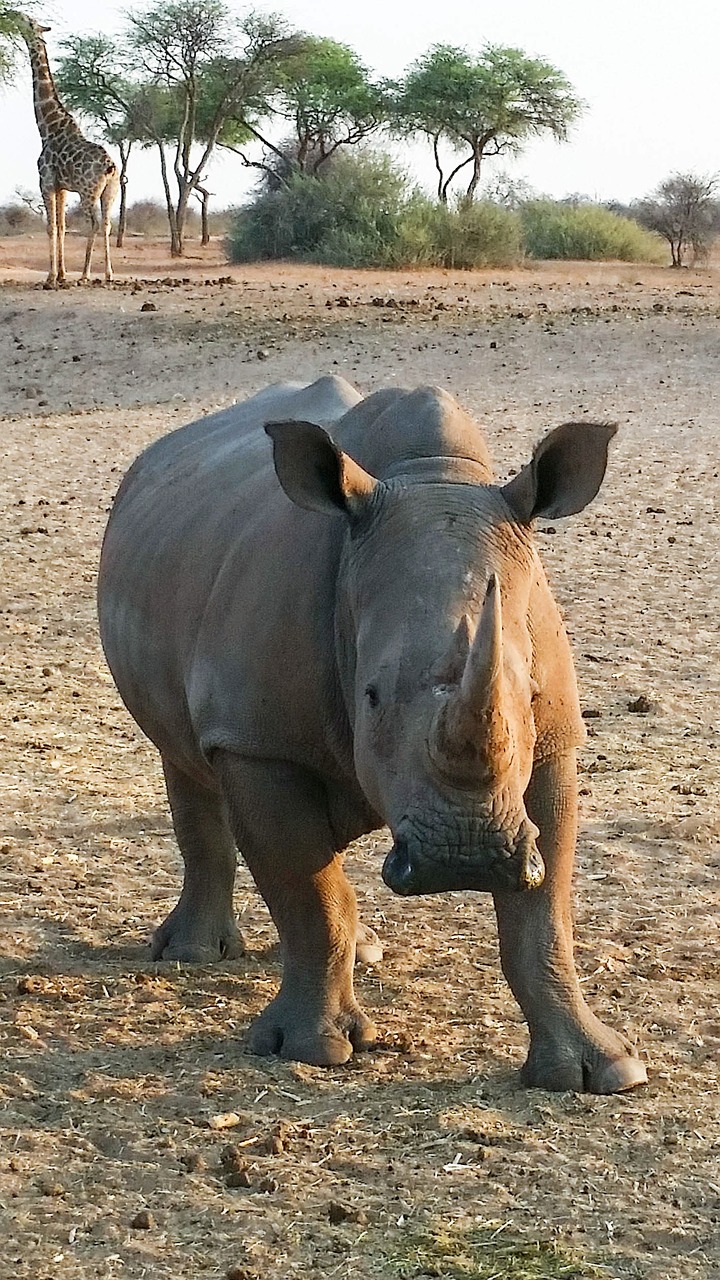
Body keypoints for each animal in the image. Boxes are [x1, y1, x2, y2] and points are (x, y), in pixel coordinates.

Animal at [11, 13, 117, 288]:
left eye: (29, 22)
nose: (15, 15)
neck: (47, 127)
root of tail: (110, 166)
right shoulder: (62, 188)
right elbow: (62, 227)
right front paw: (61, 274)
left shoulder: (46, 182)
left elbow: (51, 227)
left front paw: (51, 277)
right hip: (110, 191)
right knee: (107, 224)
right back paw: (108, 274)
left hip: (88, 190)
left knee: (94, 222)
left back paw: (86, 274)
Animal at [96, 373, 645, 1095]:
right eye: (372, 695)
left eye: (526, 695)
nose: (465, 857)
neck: (429, 476)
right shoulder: (258, 739)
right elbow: (308, 893)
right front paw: (310, 1051)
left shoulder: (552, 741)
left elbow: (544, 912)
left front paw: (602, 1071)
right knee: (186, 764)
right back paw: (188, 955)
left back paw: (365, 951)